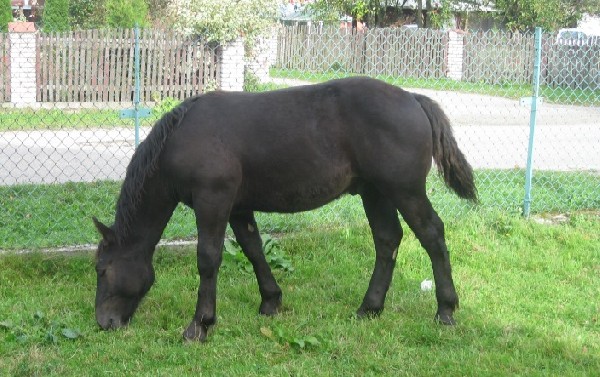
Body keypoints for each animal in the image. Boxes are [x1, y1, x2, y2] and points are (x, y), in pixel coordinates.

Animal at [92, 76, 478, 340]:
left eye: (101, 269)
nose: (104, 323)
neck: (183, 137)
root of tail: (412, 98)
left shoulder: (213, 201)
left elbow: (208, 259)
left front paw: (200, 325)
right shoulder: (238, 207)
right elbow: (253, 249)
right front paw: (271, 302)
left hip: (405, 191)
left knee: (432, 235)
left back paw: (445, 310)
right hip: (376, 193)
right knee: (387, 240)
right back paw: (369, 308)